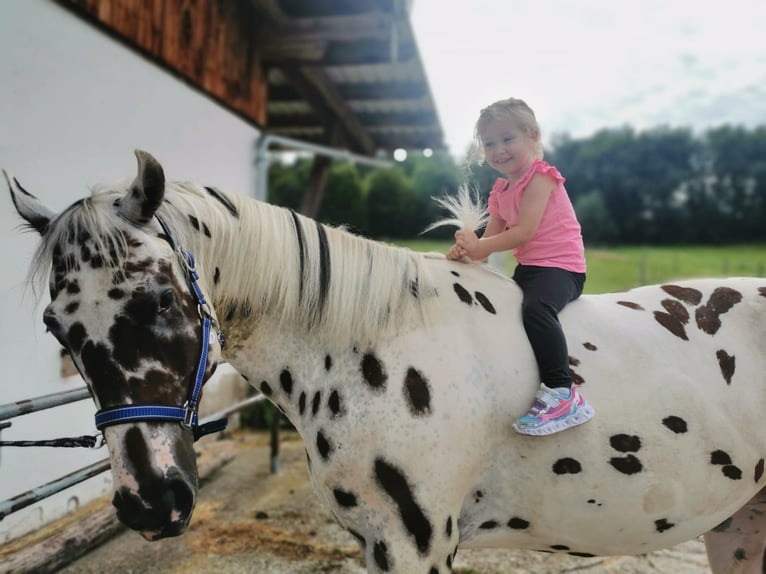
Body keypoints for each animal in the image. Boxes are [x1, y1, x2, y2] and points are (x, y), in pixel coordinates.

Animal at [6, 151, 766, 572]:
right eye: (55, 327)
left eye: (163, 297)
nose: (151, 502)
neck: (378, 339)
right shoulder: (378, 543)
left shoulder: (415, 544)